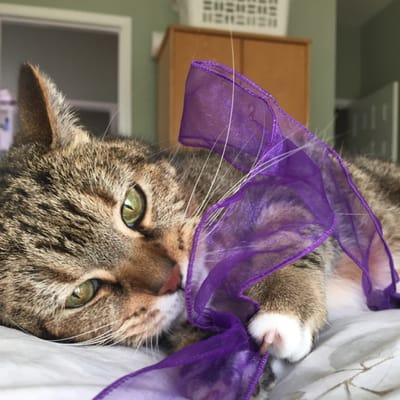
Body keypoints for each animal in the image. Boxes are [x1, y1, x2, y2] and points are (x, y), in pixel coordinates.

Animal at [0, 64, 398, 380]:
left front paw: (284, 310)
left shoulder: (293, 190)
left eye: (132, 206)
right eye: (81, 294)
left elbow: (284, 245)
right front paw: (215, 360)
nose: (172, 277)